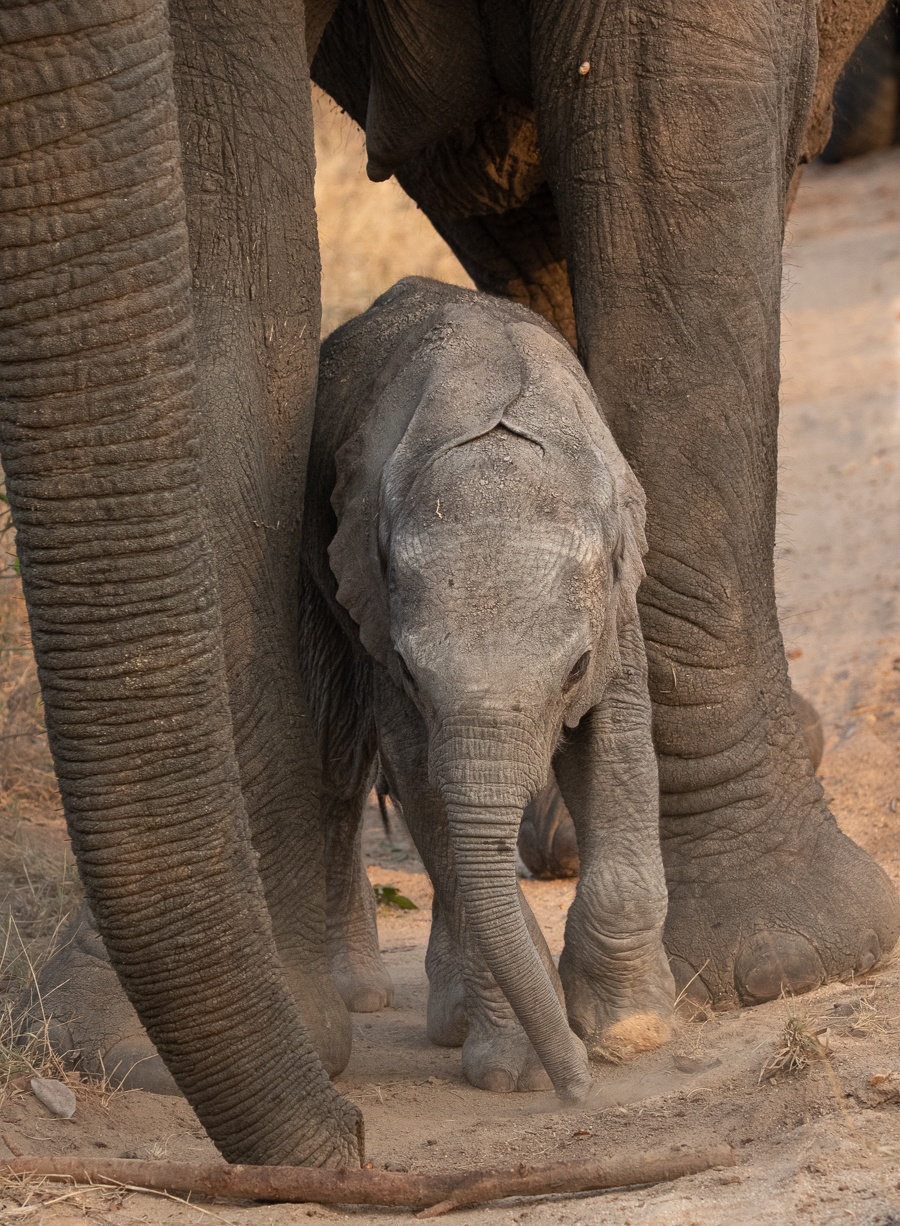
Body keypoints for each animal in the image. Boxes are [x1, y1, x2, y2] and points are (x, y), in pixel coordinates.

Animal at [306, 276, 673, 1097]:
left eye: (574, 669)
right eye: (413, 670)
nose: (577, 1091)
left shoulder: (616, 604)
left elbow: (621, 742)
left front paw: (627, 1033)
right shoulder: (375, 604)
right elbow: (419, 774)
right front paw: (515, 1070)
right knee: (341, 766)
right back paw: (389, 1002)